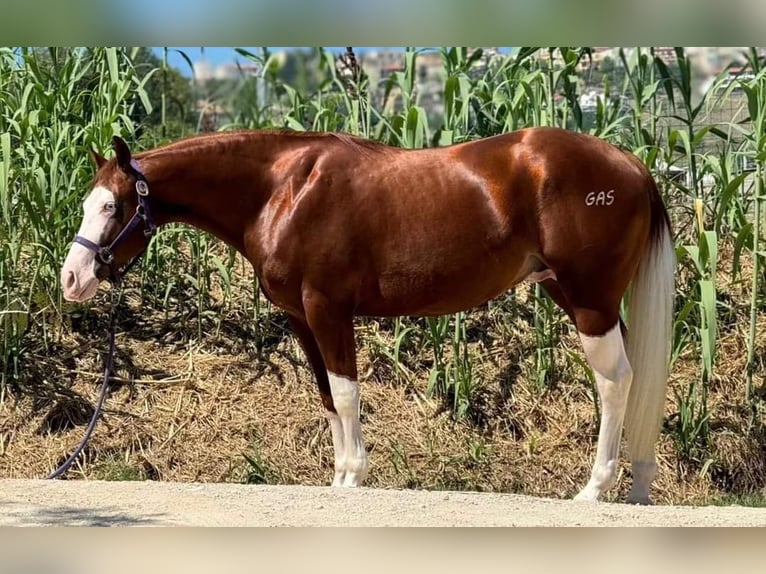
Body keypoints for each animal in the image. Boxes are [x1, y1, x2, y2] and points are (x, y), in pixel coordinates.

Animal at [64, 129, 680, 504]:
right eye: (88, 203)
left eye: (113, 206)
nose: (72, 279)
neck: (283, 189)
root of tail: (632, 165)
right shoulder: (302, 319)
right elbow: (327, 397)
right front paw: (340, 477)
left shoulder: (328, 309)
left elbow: (347, 392)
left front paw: (355, 477)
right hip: (578, 297)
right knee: (639, 377)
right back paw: (638, 487)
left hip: (590, 301)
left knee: (615, 381)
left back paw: (594, 489)